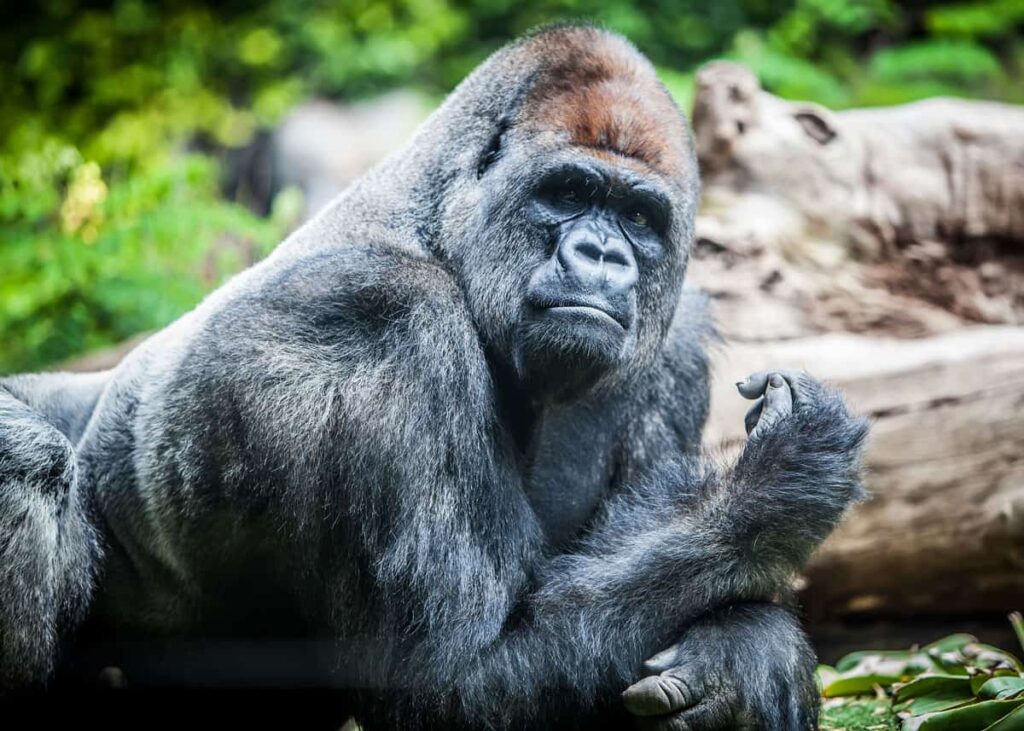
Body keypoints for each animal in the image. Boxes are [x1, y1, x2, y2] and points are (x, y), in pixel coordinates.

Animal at [0, 25, 867, 730]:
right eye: (569, 191)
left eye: (639, 217)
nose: (601, 255)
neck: (439, 222)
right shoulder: (383, 317)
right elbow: (448, 680)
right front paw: (773, 487)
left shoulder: (674, 335)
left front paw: (746, 653)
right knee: (26, 456)